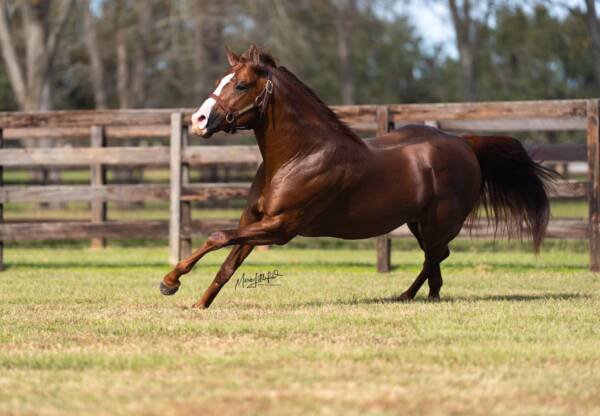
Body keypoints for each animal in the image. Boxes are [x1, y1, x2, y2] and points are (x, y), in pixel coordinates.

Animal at [159, 44, 552, 308]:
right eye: (221, 81)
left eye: (241, 85)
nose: (198, 121)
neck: (300, 156)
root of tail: (463, 143)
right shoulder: (255, 221)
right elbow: (227, 261)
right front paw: (198, 304)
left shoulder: (281, 227)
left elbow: (216, 236)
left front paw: (169, 282)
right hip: (417, 222)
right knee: (436, 257)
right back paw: (411, 296)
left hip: (439, 222)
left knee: (435, 256)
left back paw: (415, 296)